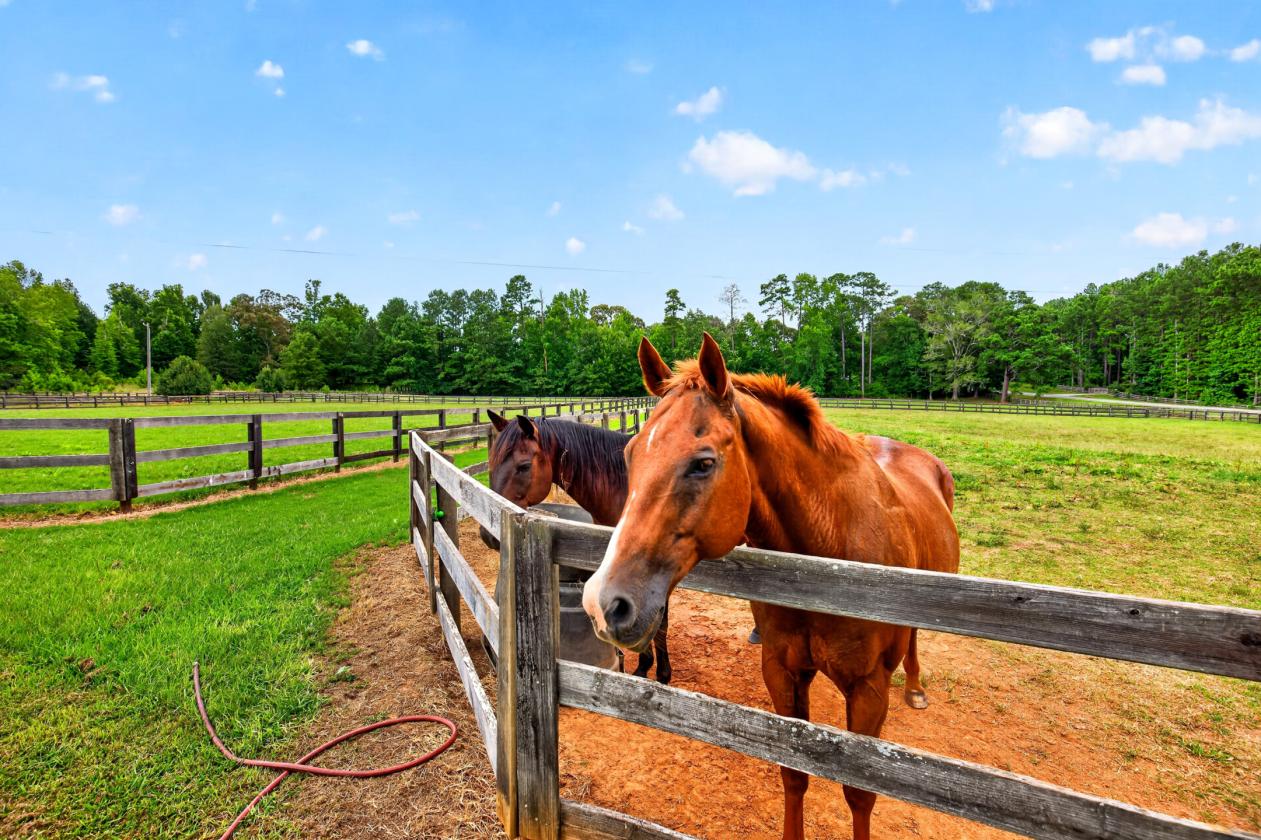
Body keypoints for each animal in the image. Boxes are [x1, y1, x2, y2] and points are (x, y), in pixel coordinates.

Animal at [482, 410, 673, 684]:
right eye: (492, 463)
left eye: (524, 466)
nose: (488, 535)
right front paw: (642, 668)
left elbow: (660, 622)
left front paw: (660, 674)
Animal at [582, 334, 960, 840]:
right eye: (629, 456)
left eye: (703, 463)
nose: (604, 604)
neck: (829, 556)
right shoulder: (782, 672)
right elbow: (793, 773)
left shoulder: (868, 689)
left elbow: (860, 794)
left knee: (916, 639)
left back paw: (915, 688)